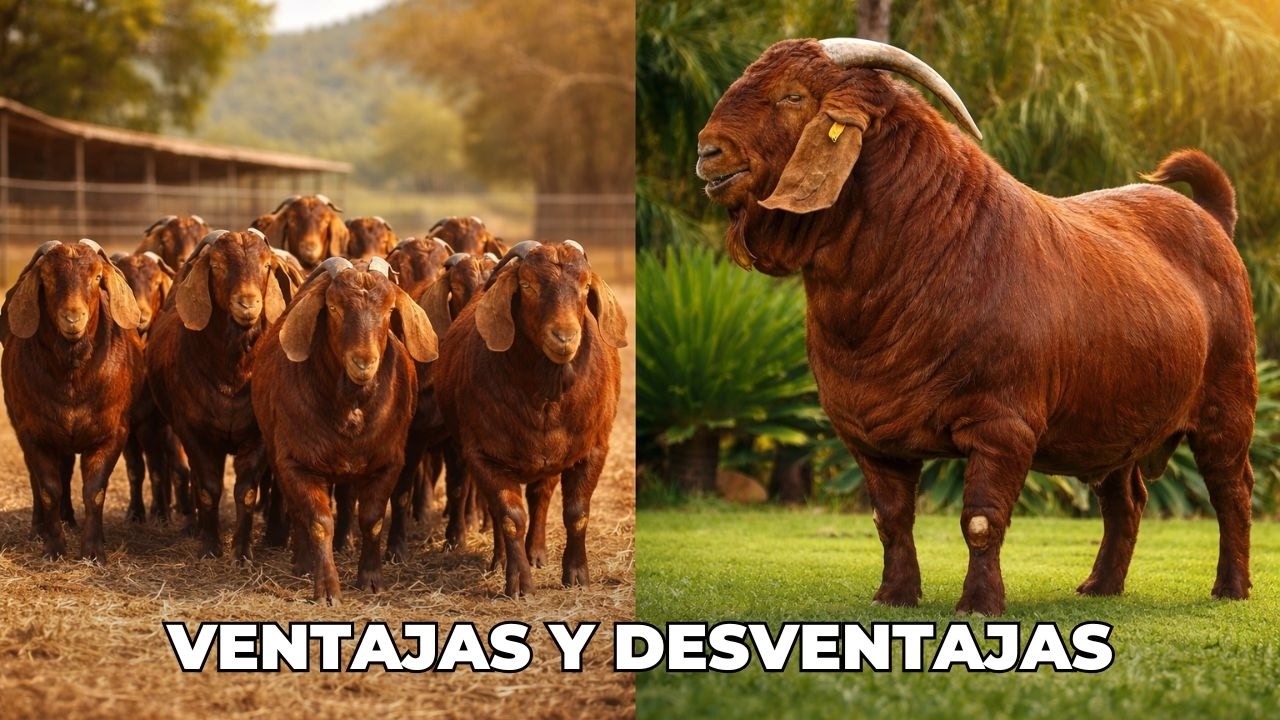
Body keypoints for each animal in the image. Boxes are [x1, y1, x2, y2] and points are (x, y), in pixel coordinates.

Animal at [1, 239, 143, 560]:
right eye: (47, 279)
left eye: (97, 278)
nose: (73, 318)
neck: (72, 378)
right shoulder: (33, 433)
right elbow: (48, 489)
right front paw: (53, 548)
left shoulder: (112, 432)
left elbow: (95, 491)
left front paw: (93, 550)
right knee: (44, 477)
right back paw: (42, 528)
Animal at [147, 228, 298, 561]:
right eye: (216, 266)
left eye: (265, 266)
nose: (248, 303)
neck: (232, 376)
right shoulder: (193, 431)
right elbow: (207, 488)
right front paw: (210, 546)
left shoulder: (258, 435)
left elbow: (247, 491)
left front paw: (242, 552)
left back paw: (276, 536)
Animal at [252, 257, 438, 604]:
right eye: (334, 308)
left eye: (389, 310)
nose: (363, 362)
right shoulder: (297, 462)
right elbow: (318, 521)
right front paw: (326, 588)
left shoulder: (387, 462)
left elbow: (372, 520)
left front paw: (371, 579)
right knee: (296, 511)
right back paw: (303, 562)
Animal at [436, 240, 626, 596]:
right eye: (527, 285)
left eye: (585, 287)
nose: (564, 337)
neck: (546, 396)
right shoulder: (484, 455)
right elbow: (510, 517)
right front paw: (519, 582)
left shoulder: (594, 448)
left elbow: (577, 512)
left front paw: (576, 575)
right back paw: (500, 559)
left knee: (541, 498)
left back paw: (536, 553)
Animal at [695, 38, 1256, 615]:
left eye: (793, 95)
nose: (708, 151)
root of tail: (1214, 220)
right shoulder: (868, 434)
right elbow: (890, 520)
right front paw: (894, 597)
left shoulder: (1002, 424)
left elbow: (982, 521)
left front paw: (980, 604)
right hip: (1116, 419)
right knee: (1126, 499)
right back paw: (1102, 585)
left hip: (1228, 404)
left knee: (1231, 491)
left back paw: (1230, 588)